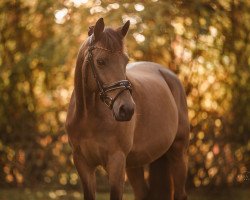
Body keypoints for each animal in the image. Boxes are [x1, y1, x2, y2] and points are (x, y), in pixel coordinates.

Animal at [66, 17, 189, 200]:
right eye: (100, 61)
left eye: (125, 61)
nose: (127, 109)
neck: (89, 117)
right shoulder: (83, 164)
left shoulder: (116, 162)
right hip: (135, 164)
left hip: (178, 153)